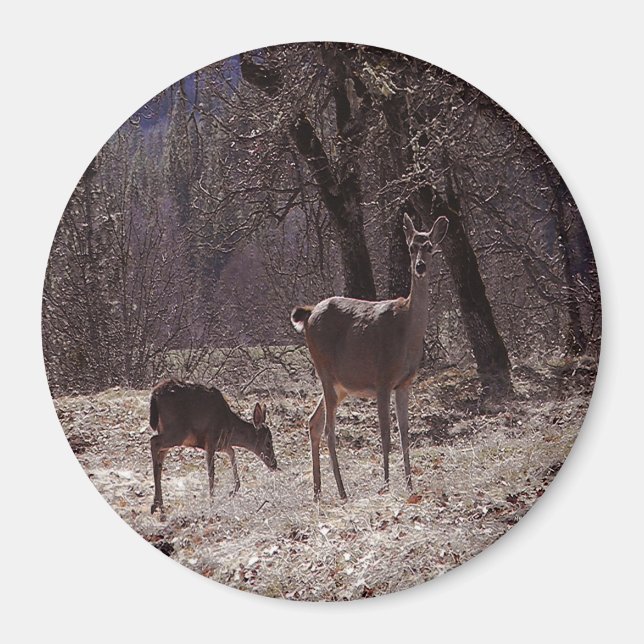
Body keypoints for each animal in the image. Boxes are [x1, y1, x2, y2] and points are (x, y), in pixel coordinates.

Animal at [149, 379, 277, 516]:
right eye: (268, 443)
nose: (274, 464)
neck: (229, 425)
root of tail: (155, 393)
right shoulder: (210, 441)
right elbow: (211, 473)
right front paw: (212, 502)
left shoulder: (223, 445)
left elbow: (232, 453)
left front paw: (233, 491)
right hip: (177, 431)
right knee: (154, 441)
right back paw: (156, 504)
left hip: (167, 431)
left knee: (160, 456)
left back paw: (159, 503)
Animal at [291, 213, 449, 500]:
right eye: (411, 247)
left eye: (430, 246)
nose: (420, 266)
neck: (406, 331)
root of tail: (307, 315)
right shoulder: (382, 378)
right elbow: (385, 434)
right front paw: (385, 484)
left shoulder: (404, 383)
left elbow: (405, 434)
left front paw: (410, 485)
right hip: (324, 369)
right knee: (329, 429)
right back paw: (341, 491)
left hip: (340, 384)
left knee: (313, 421)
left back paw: (318, 492)